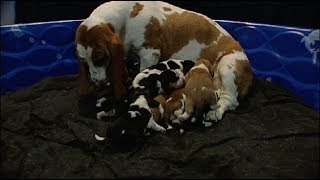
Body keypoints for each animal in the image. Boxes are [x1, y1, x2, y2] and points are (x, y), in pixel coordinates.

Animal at [75, 1, 252, 121]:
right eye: (83, 60)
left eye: (100, 58)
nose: (97, 83)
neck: (126, 19)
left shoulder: (149, 53)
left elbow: (142, 75)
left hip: (226, 67)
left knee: (230, 100)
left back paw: (215, 112)